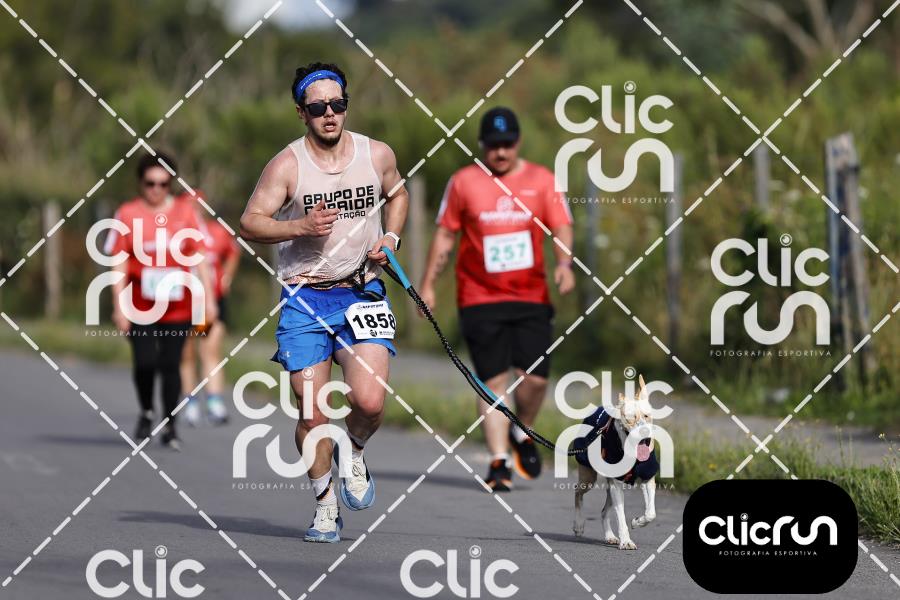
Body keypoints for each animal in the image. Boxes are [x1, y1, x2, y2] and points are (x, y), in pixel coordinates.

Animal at [571, 375, 659, 550]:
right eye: (630, 418)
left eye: (646, 416)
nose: (644, 431)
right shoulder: (616, 486)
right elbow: (621, 517)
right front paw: (626, 541)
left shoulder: (647, 477)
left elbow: (651, 513)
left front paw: (637, 522)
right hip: (589, 478)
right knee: (578, 492)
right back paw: (579, 525)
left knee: (604, 511)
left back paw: (610, 536)